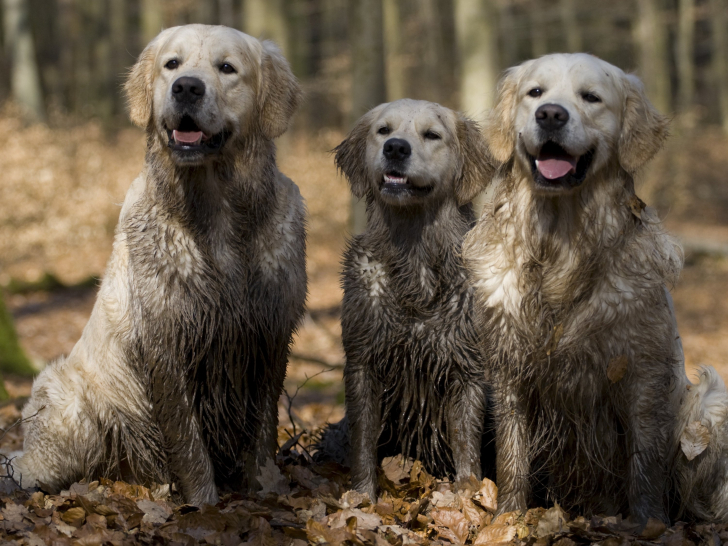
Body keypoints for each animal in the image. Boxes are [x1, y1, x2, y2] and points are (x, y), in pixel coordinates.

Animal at [14, 24, 304, 502]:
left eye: (227, 68)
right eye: (172, 64)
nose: (186, 87)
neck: (216, 214)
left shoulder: (270, 333)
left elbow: (263, 433)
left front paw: (264, 491)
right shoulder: (166, 342)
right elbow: (188, 441)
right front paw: (204, 503)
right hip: (67, 399)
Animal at [332, 98, 492, 498]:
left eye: (432, 134)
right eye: (383, 131)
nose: (396, 149)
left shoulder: (466, 367)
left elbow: (466, 444)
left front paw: (468, 495)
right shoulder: (362, 360)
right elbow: (363, 444)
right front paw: (363, 498)